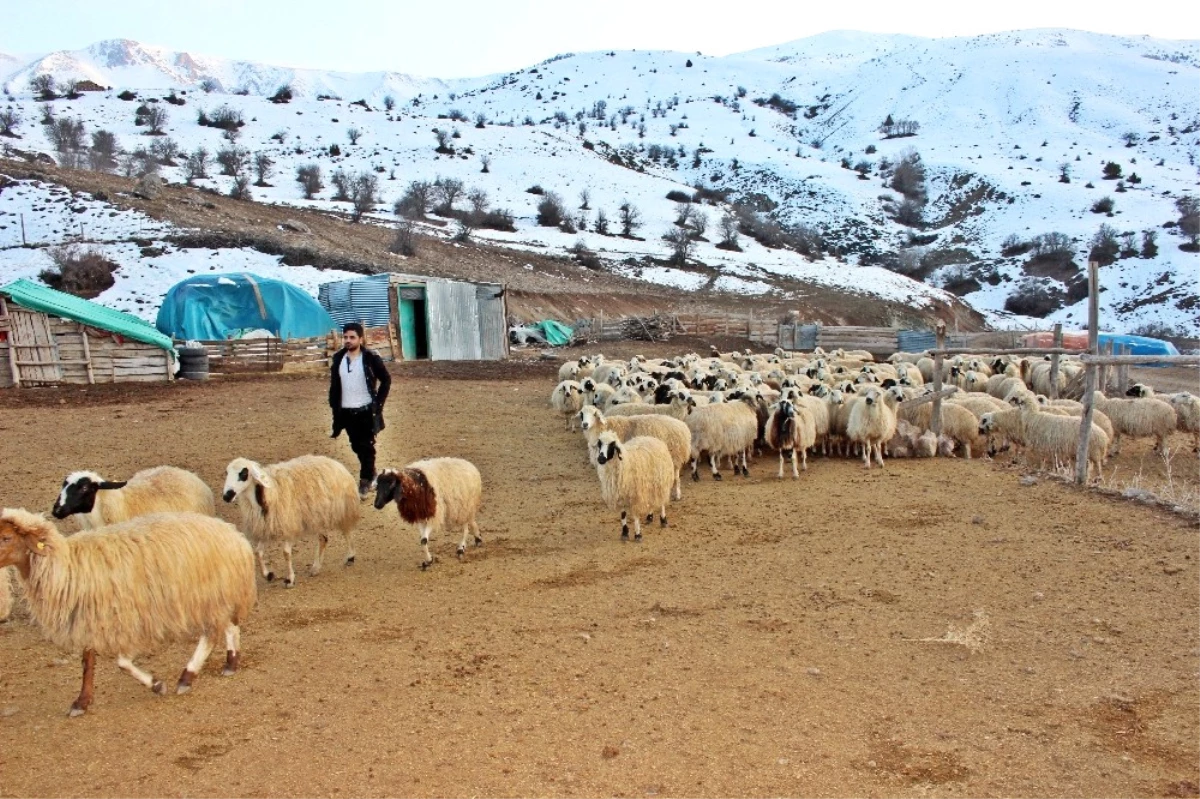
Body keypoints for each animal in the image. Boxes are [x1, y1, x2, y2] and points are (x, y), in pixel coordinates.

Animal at [0, 506, 253, 719]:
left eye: (6, 538)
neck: (68, 565)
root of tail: (232, 533)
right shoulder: (93, 618)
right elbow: (88, 661)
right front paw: (82, 702)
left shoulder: (124, 618)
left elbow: (122, 662)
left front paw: (156, 684)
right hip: (216, 594)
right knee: (229, 625)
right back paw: (231, 662)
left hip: (207, 596)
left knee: (211, 634)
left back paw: (187, 677)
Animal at [222, 453, 360, 585]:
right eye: (227, 473)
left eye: (244, 473)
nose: (227, 496)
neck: (267, 494)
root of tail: (334, 463)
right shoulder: (267, 526)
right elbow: (258, 552)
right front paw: (268, 575)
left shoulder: (290, 526)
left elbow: (286, 553)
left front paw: (290, 579)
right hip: (317, 515)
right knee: (323, 539)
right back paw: (316, 568)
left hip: (341, 509)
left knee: (346, 531)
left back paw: (350, 557)